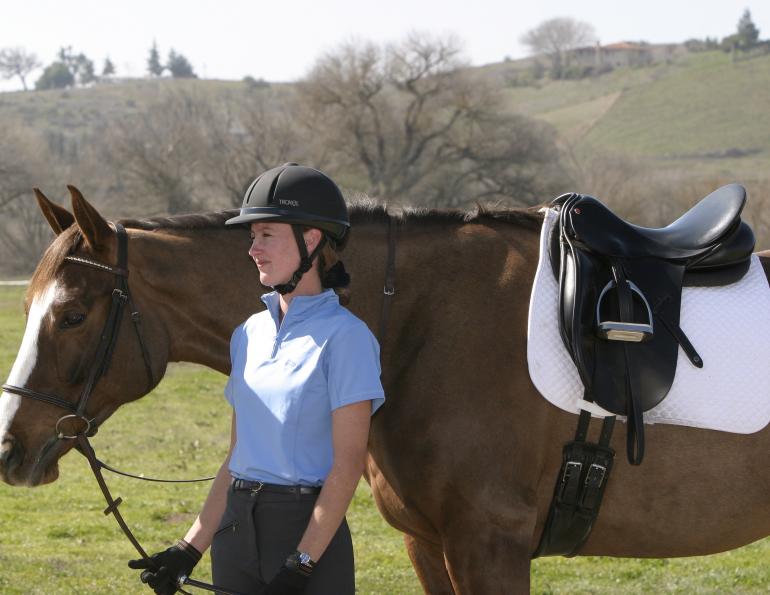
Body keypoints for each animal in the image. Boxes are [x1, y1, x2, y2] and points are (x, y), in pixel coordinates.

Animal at [1, 186, 769, 594]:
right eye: (31, 305)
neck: (413, 324)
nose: (10, 448)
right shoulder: (430, 547)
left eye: (72, 315)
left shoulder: (490, 547)